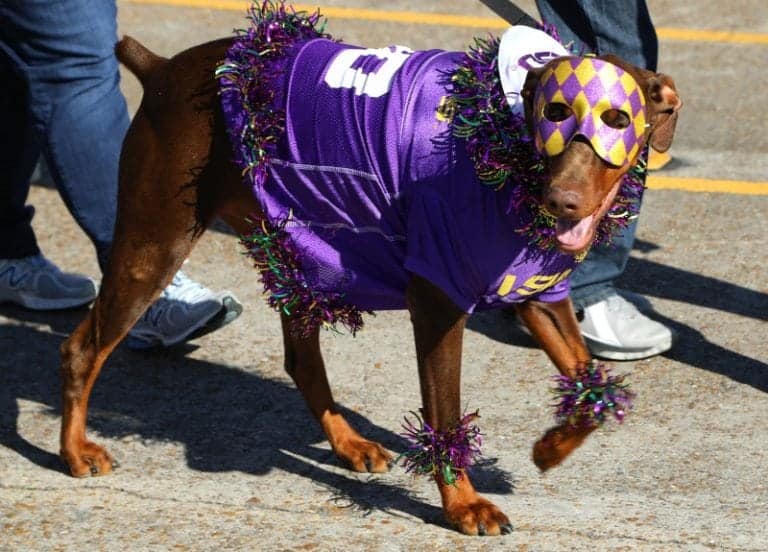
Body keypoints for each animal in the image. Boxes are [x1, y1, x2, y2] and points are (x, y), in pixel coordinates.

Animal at [58, 23, 680, 536]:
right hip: (154, 244)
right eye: (553, 116)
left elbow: (588, 384)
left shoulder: (538, 296)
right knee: (83, 348)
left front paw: (551, 447)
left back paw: (349, 443)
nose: (561, 201)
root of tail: (162, 69)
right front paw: (464, 506)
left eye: (616, 121)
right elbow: (445, 415)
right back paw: (74, 452)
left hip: (296, 249)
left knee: (302, 360)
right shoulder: (437, 303)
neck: (501, 145)